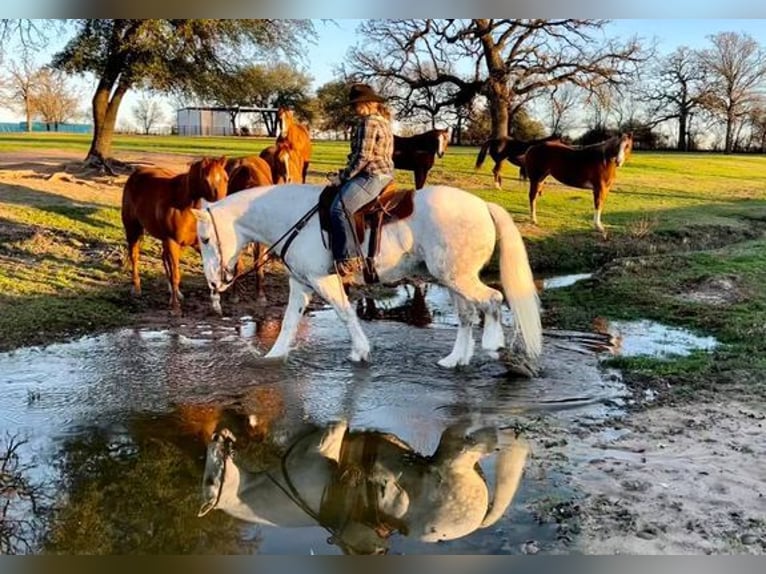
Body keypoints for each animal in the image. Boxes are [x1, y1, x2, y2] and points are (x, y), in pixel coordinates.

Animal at [121, 155, 230, 312]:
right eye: (206, 180)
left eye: (226, 178)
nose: (222, 205)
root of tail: (136, 173)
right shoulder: (172, 241)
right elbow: (175, 276)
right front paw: (175, 307)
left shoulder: (197, 243)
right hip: (133, 230)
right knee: (134, 256)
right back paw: (136, 288)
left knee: (164, 258)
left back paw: (175, 292)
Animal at [192, 182, 544, 368]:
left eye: (205, 239)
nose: (214, 282)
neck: (296, 219)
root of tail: (483, 206)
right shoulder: (301, 283)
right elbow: (290, 321)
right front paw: (274, 355)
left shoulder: (323, 280)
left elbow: (346, 313)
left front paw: (360, 351)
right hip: (452, 279)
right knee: (468, 315)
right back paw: (454, 359)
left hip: (458, 278)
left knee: (493, 299)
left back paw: (493, 343)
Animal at [198, 420, 532, 556]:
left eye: (209, 479)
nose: (217, 436)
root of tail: (480, 520)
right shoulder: (322, 447)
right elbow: (338, 424)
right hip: (454, 461)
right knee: (477, 440)